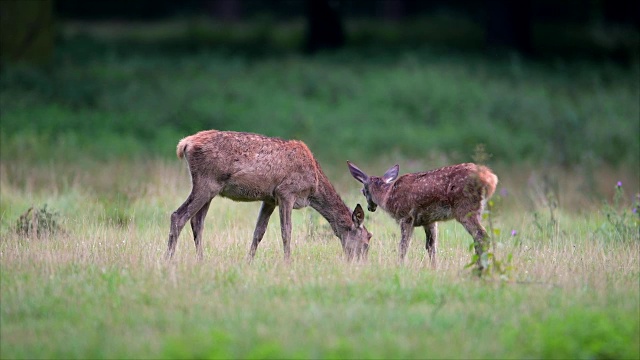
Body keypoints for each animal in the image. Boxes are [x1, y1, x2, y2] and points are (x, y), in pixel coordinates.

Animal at [168, 129, 372, 262]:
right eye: (367, 241)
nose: (359, 264)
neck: (314, 186)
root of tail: (184, 144)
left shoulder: (269, 199)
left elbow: (259, 232)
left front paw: (248, 262)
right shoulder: (286, 192)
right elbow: (286, 231)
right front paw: (287, 262)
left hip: (211, 188)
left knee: (197, 221)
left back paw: (201, 260)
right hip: (207, 182)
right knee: (178, 216)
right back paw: (168, 259)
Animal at [348, 162, 498, 268]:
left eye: (363, 191)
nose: (370, 207)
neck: (387, 196)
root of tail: (490, 179)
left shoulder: (406, 216)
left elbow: (404, 245)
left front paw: (400, 265)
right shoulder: (429, 221)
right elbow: (431, 247)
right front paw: (434, 268)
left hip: (465, 208)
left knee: (481, 236)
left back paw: (480, 268)